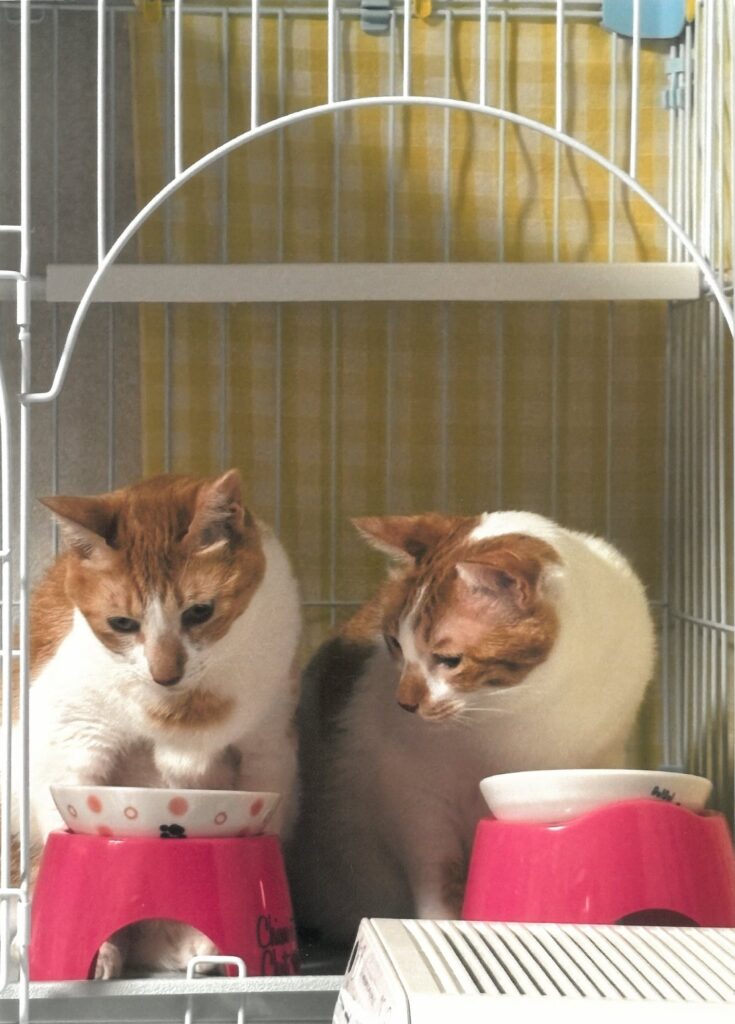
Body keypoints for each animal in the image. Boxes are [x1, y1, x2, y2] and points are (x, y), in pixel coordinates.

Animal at [10, 469, 301, 977]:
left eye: (200, 612)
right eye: (122, 623)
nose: (165, 674)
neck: (183, 709)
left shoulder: (268, 750)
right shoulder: (68, 742)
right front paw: (99, 952)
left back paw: (198, 950)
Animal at [289, 510, 655, 946]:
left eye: (449, 660)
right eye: (394, 643)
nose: (404, 703)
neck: (524, 707)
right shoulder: (411, 790)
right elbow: (437, 869)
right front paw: (443, 924)